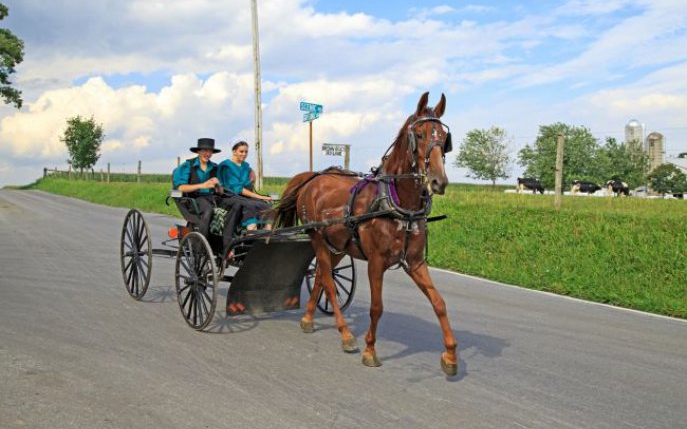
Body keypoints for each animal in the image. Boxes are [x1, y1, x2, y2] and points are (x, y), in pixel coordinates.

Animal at [272, 91, 460, 374]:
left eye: (444, 137)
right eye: (420, 134)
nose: (439, 181)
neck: (397, 204)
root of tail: (312, 177)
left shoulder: (415, 262)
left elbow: (439, 303)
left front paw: (450, 356)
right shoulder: (376, 262)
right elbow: (376, 307)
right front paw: (370, 350)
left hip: (338, 246)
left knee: (320, 276)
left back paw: (307, 318)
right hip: (318, 239)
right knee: (328, 282)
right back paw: (346, 334)